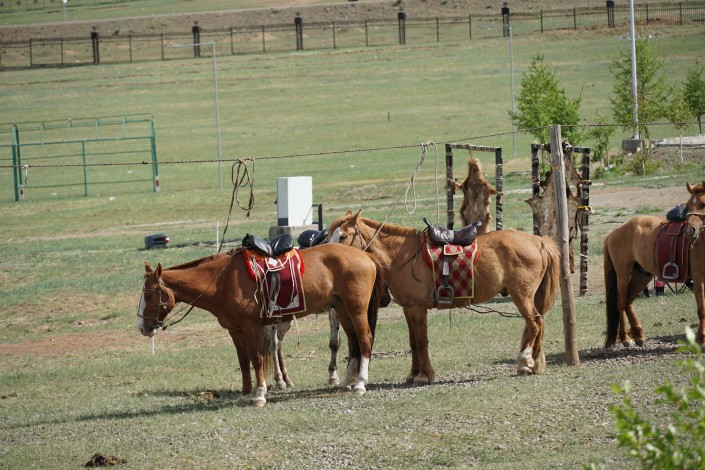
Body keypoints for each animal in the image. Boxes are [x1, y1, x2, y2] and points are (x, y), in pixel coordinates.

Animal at [136, 243, 385, 407]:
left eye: (148, 295)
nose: (141, 327)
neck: (222, 281)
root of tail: (365, 254)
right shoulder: (235, 330)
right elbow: (243, 362)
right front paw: (244, 394)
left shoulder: (252, 327)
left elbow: (256, 360)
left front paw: (259, 395)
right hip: (341, 309)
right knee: (353, 343)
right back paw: (346, 383)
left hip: (356, 309)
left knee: (364, 340)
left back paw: (360, 384)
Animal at [327, 210, 560, 382]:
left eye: (344, 236)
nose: (332, 253)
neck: (403, 256)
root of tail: (538, 241)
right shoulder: (408, 308)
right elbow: (413, 342)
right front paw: (413, 373)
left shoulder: (417, 308)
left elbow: (422, 341)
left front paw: (424, 375)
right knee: (538, 323)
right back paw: (534, 363)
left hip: (521, 295)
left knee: (534, 323)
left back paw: (524, 361)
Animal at [604, 181, 705, 347]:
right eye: (688, 205)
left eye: (703, 204)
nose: (691, 231)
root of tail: (614, 232)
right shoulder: (698, 278)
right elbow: (702, 309)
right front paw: (702, 339)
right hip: (623, 275)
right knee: (621, 302)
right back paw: (626, 338)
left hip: (642, 275)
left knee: (628, 301)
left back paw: (638, 335)